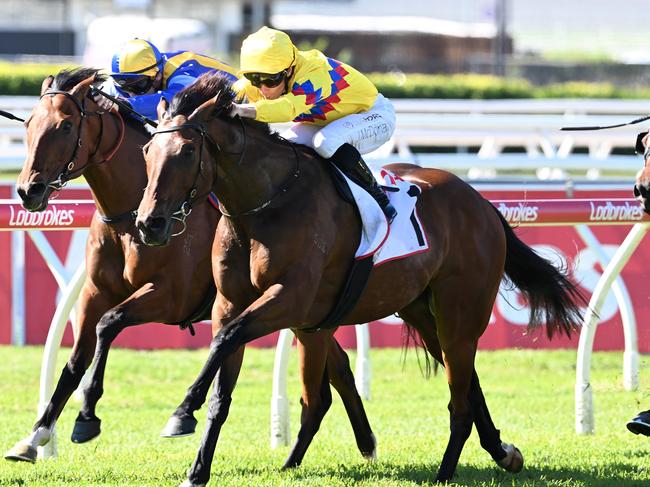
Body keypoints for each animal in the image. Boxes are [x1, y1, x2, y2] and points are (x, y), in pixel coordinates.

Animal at [3, 68, 374, 468]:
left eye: (66, 125)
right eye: (28, 124)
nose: (27, 190)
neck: (130, 214)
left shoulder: (171, 296)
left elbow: (110, 323)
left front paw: (87, 417)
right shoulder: (95, 291)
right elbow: (75, 360)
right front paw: (34, 437)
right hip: (303, 307)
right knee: (337, 363)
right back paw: (365, 440)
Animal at [134, 73, 584, 487]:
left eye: (187, 150)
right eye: (147, 150)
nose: (149, 224)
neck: (265, 205)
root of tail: (483, 204)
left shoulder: (289, 299)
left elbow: (226, 342)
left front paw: (181, 413)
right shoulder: (231, 305)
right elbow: (223, 387)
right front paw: (197, 469)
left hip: (460, 312)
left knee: (459, 401)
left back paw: (446, 472)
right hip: (422, 313)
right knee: (466, 385)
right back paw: (502, 451)